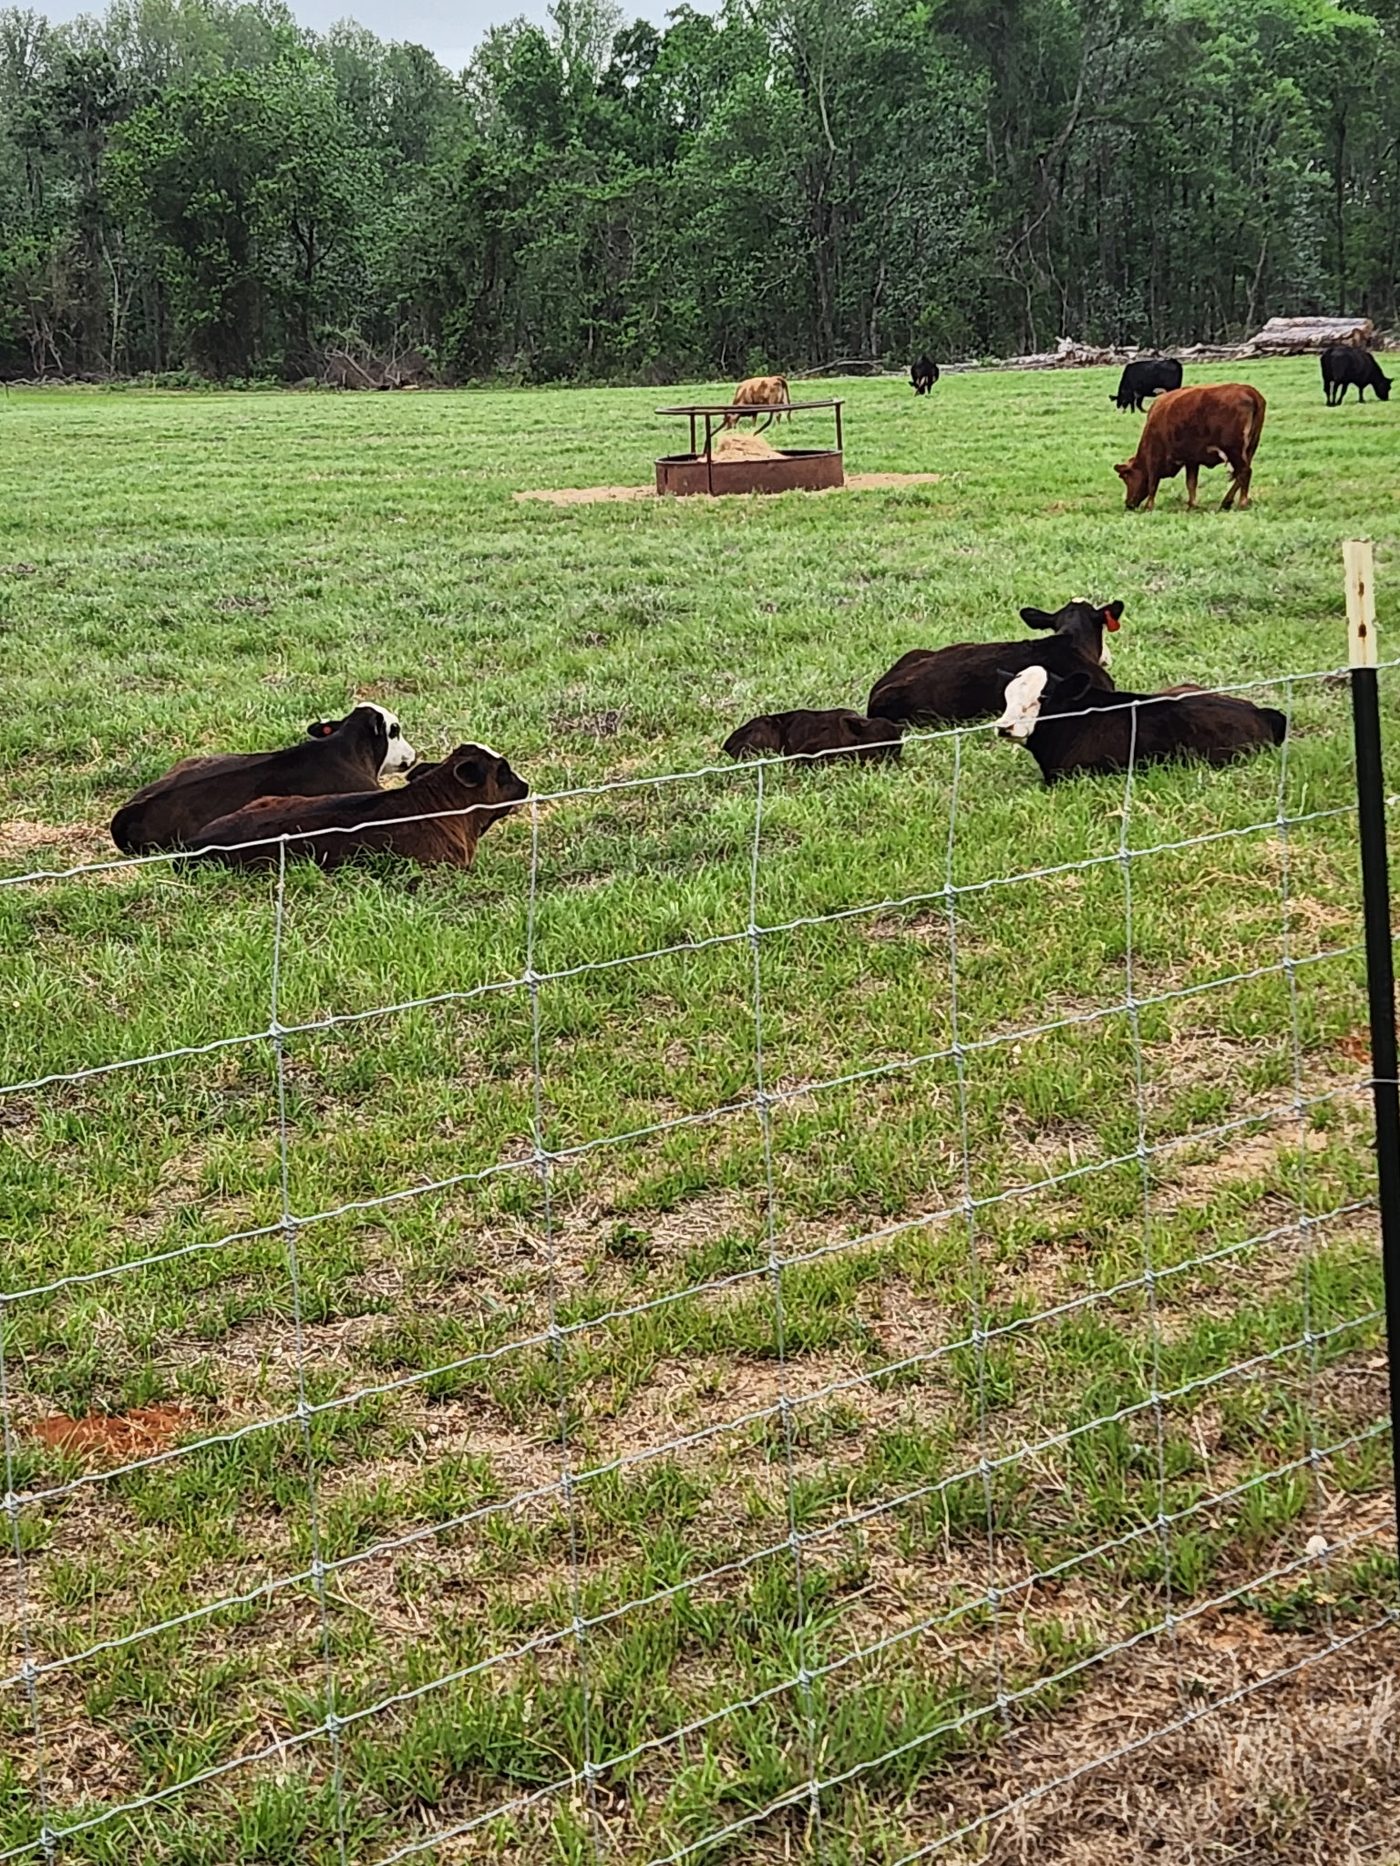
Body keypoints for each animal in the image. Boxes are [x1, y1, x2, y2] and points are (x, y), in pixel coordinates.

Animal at [1114, 383, 1265, 512]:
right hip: (1249, 449)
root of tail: (1250, 392)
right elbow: (1191, 483)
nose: (1128, 504)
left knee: (1245, 472)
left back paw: (1242, 502)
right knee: (1241, 474)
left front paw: (1148, 506)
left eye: (1125, 476)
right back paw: (1226, 502)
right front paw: (1192, 505)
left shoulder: (1154, 458)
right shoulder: (1191, 460)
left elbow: (1153, 483)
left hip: (1234, 450)